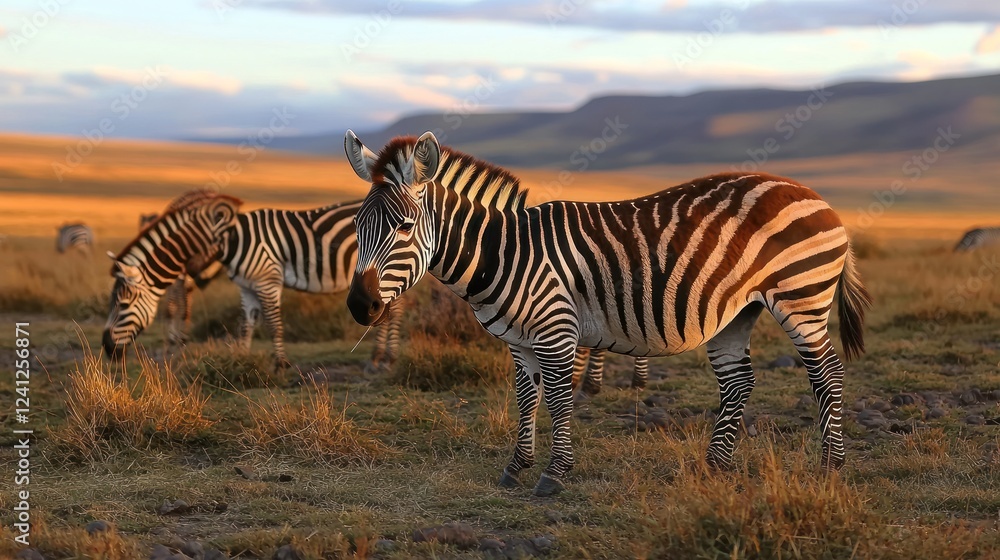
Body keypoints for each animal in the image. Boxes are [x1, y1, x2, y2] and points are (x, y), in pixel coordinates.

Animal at [104, 193, 405, 370]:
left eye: (122, 304)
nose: (106, 348)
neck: (228, 239)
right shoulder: (246, 286)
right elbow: (245, 325)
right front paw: (241, 360)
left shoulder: (267, 281)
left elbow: (273, 324)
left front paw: (281, 364)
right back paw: (382, 355)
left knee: (395, 313)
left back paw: (385, 357)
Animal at [344, 131, 871, 496]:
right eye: (357, 225)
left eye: (405, 226)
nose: (359, 305)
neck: (507, 251)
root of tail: (815, 194)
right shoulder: (519, 341)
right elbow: (527, 399)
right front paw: (516, 467)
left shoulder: (556, 330)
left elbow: (559, 400)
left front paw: (554, 475)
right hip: (737, 313)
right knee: (739, 382)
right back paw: (715, 465)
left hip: (802, 298)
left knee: (827, 374)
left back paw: (831, 466)